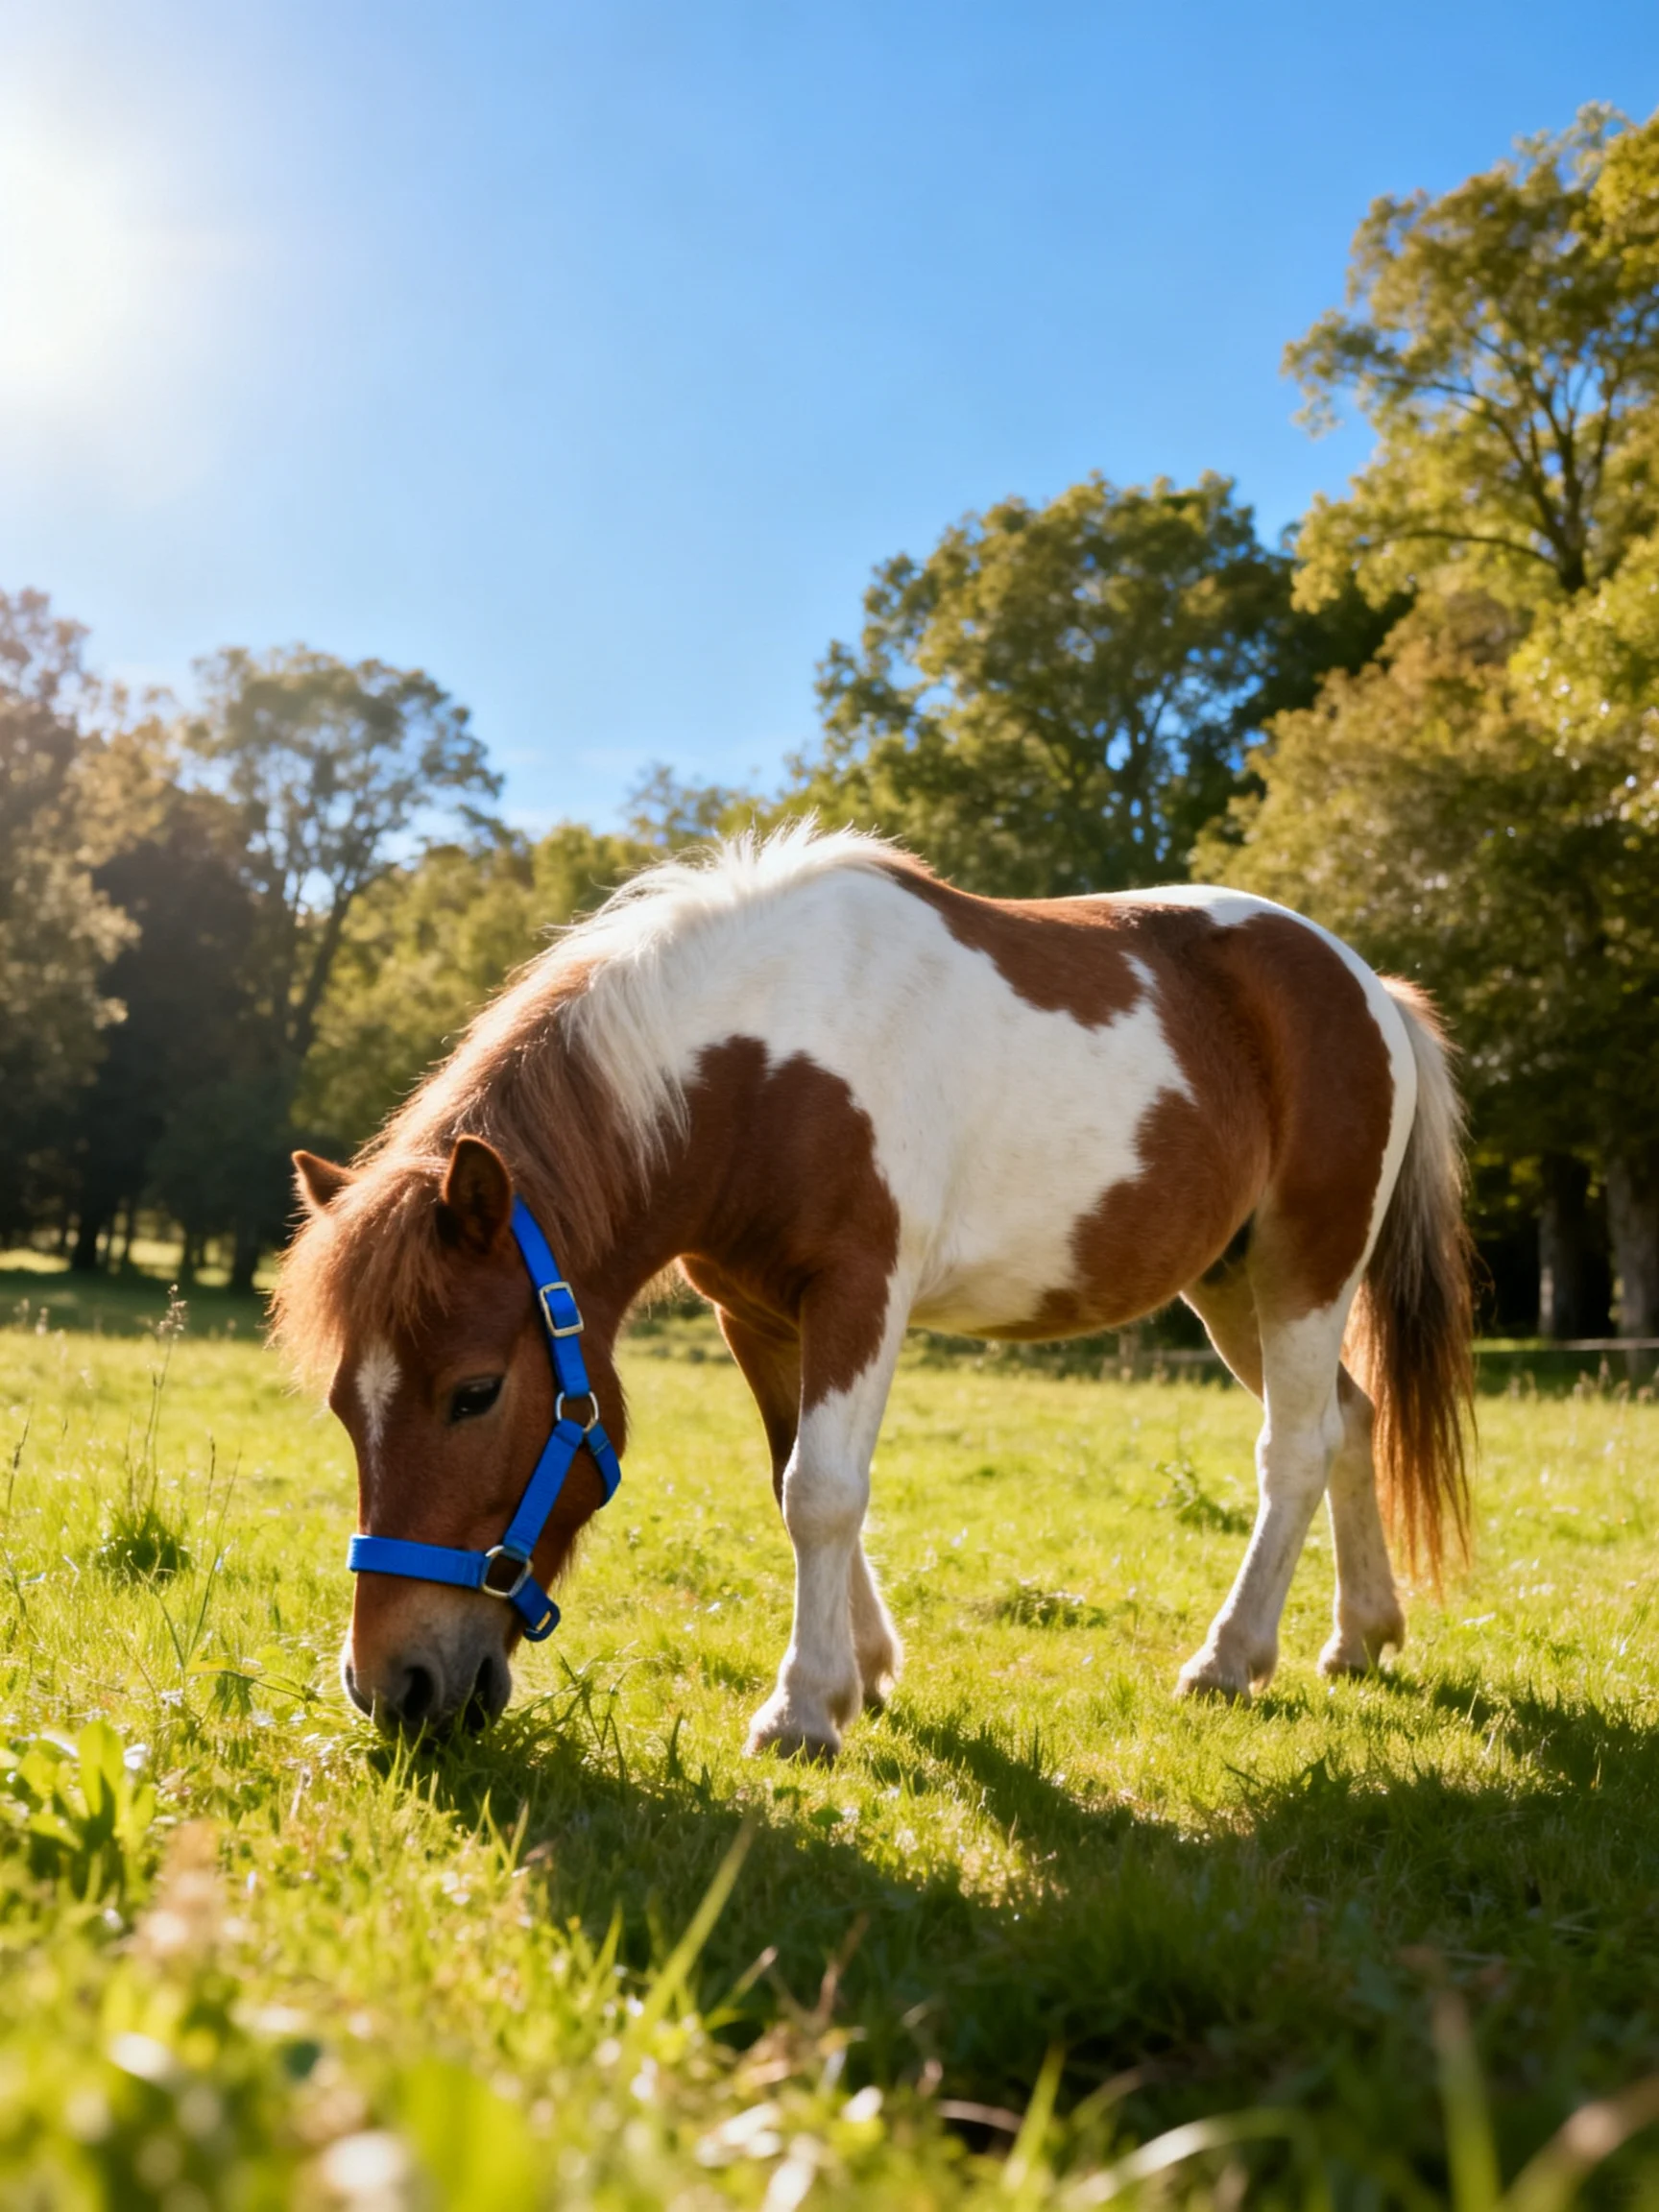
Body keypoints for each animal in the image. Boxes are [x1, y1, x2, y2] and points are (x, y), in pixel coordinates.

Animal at [274, 823, 1474, 1756]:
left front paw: (804, 1709)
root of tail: (1369, 988)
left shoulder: (860, 1294)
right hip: (1232, 1288)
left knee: (1296, 1450)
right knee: (1352, 1421)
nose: (394, 1688)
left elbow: (823, 1490)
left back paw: (1231, 1659)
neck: (760, 1064)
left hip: (1304, 1270)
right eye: (340, 1407)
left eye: (475, 1393)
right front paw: (865, 1669)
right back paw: (1360, 1635)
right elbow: (788, 1481)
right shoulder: (756, 1315)